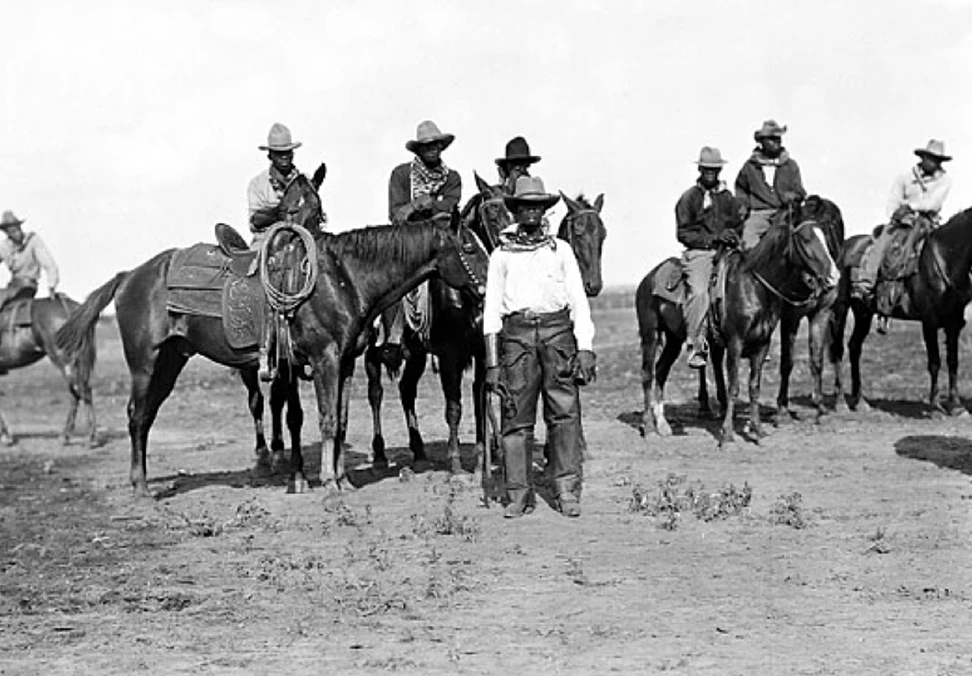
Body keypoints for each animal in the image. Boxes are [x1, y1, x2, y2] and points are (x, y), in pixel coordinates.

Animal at [0, 294, 98, 446]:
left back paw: (90, 438)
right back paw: (66, 436)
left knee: (81, 391)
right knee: (77, 392)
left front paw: (6, 436)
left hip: (65, 360)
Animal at [56, 184, 490, 492]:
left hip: (171, 361)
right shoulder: (324, 359)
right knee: (136, 416)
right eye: (469, 246)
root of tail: (129, 276)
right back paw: (141, 487)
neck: (342, 277)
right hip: (145, 364)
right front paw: (328, 483)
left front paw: (342, 478)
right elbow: (326, 419)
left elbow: (342, 419)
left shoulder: (346, 361)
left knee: (145, 416)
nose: (489, 288)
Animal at [364, 176, 608, 476]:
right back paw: (379, 455)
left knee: (406, 389)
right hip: (377, 350)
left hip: (418, 354)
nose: (593, 285)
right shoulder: (450, 356)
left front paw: (484, 458)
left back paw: (420, 452)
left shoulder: (484, 353)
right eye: (492, 212)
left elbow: (482, 398)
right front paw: (456, 464)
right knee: (376, 391)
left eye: (602, 234)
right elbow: (454, 406)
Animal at [636, 206, 836, 448]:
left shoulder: (761, 344)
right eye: (806, 239)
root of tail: (648, 278)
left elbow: (754, 387)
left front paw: (757, 431)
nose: (833, 276)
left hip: (673, 339)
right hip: (650, 334)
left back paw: (663, 425)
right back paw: (648, 427)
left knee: (661, 371)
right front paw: (727, 434)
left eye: (826, 237)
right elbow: (733, 387)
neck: (754, 286)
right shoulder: (735, 343)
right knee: (647, 374)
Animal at [832, 209, 972, 414]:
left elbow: (953, 361)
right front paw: (934, 406)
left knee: (854, 347)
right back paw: (841, 401)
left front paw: (956, 406)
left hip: (863, 313)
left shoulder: (953, 323)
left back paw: (861, 401)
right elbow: (934, 362)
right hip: (840, 309)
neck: (945, 260)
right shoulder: (929, 322)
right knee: (838, 349)